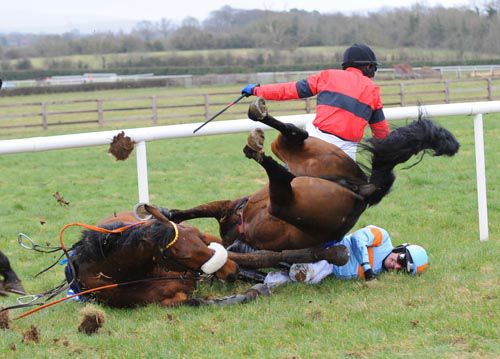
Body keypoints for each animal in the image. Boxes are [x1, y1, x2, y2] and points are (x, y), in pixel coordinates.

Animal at [165, 97, 460, 252]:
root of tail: (360, 188)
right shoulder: (225, 207)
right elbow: (190, 211)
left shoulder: (227, 209)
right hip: (311, 157)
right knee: (293, 136)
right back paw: (260, 118)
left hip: (289, 203)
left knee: (281, 174)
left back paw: (255, 144)